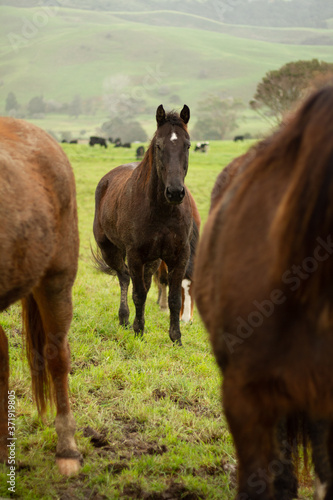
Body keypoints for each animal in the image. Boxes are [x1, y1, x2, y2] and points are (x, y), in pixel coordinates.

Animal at [92, 105, 192, 346]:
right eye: (158, 145)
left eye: (187, 145)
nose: (175, 192)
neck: (163, 211)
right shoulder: (135, 254)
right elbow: (138, 294)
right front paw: (138, 331)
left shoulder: (179, 255)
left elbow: (174, 298)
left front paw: (176, 338)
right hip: (111, 250)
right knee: (124, 277)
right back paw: (124, 319)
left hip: (153, 260)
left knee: (144, 282)